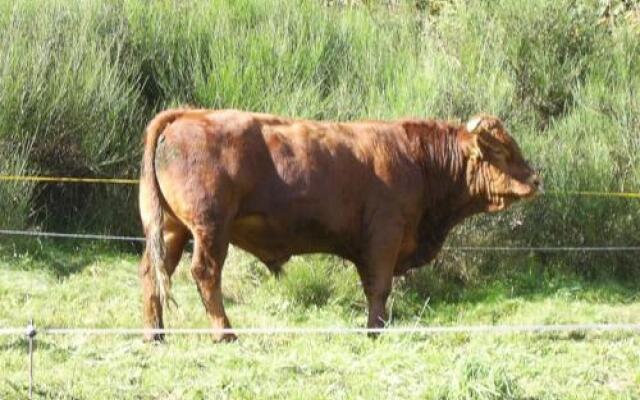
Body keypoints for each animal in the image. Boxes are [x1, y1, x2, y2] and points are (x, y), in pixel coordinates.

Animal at [140, 109, 540, 340]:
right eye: (502, 151)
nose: (535, 179)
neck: (420, 161)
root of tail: (190, 115)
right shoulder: (384, 237)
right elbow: (379, 288)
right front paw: (376, 330)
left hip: (172, 229)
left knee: (153, 272)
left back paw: (154, 334)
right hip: (211, 229)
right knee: (205, 273)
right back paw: (225, 333)